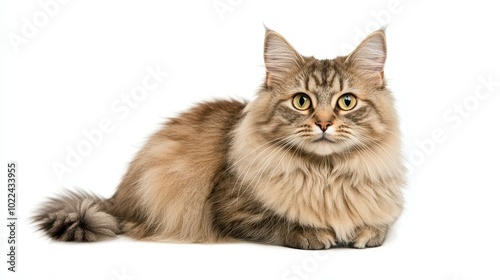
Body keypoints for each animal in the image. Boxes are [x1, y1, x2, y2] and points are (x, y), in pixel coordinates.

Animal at [34, 27, 406, 249]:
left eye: (347, 102)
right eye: (302, 102)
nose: (324, 123)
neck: (326, 174)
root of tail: (117, 195)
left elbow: (379, 226)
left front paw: (364, 233)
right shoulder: (231, 209)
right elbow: (280, 222)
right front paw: (317, 233)